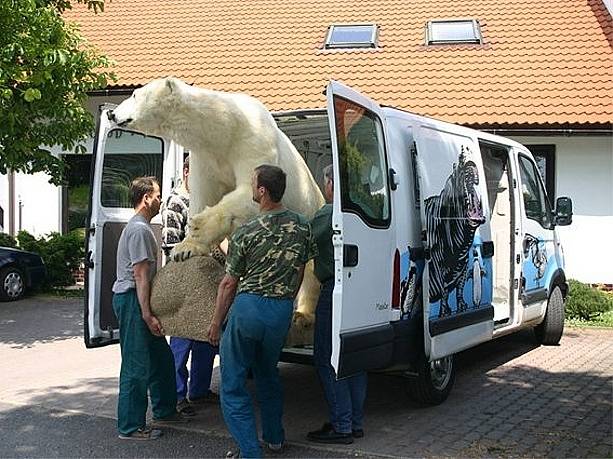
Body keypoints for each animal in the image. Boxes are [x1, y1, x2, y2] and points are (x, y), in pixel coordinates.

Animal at [112, 78, 328, 330]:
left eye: (135, 95)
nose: (112, 113)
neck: (224, 127)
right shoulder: (206, 157)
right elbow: (203, 193)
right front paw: (185, 248)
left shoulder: (252, 139)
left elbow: (252, 192)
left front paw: (199, 226)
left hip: (312, 216)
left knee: (312, 270)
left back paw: (303, 314)